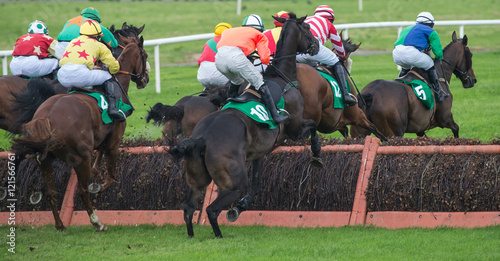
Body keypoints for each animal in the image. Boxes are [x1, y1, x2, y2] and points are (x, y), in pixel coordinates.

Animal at [11, 34, 148, 230]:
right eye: (145, 55)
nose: (145, 79)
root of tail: (47, 118)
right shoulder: (114, 140)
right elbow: (110, 177)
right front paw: (97, 186)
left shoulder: (101, 137)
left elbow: (99, 157)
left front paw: (96, 172)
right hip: (80, 158)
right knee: (82, 191)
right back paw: (97, 222)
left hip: (45, 159)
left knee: (51, 192)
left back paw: (60, 225)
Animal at [170, 13, 318, 238]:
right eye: (308, 28)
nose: (316, 45)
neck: (280, 77)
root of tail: (201, 138)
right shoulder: (294, 129)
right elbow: (314, 127)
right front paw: (317, 155)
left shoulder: (260, 152)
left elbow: (256, 185)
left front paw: (240, 207)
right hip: (234, 182)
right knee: (211, 209)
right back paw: (219, 236)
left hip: (197, 178)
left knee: (188, 207)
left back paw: (191, 236)